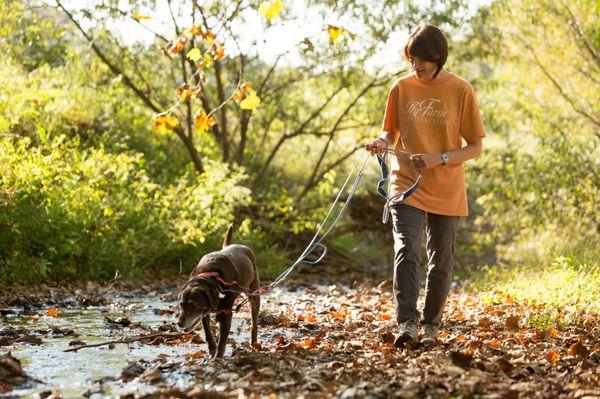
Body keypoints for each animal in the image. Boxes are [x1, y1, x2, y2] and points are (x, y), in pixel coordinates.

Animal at [176, 225, 260, 360]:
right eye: (181, 305)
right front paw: (211, 351)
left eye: (193, 306)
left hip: (254, 293)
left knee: (254, 321)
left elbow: (223, 338)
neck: (210, 276)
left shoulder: (226, 313)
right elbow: (208, 333)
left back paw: (254, 343)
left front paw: (218, 356)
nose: (179, 323)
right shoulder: (205, 312)